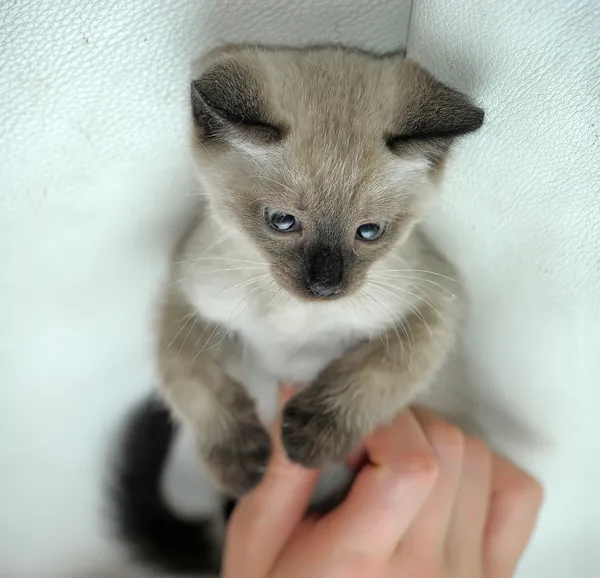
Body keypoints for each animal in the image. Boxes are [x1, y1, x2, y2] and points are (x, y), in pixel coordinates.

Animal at [112, 44, 482, 572]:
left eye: (369, 232)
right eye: (283, 222)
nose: (325, 286)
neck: (294, 313)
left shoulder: (433, 303)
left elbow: (383, 371)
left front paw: (310, 437)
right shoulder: (185, 303)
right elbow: (192, 383)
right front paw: (241, 462)